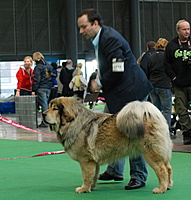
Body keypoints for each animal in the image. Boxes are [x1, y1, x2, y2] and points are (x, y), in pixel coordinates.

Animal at [43, 97, 173, 194]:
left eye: (55, 109)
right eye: (49, 107)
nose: (43, 114)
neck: (74, 122)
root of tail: (150, 114)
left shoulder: (86, 161)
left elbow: (86, 176)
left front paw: (83, 189)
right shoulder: (93, 162)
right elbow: (93, 176)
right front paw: (91, 187)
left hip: (151, 153)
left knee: (162, 170)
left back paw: (161, 189)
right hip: (161, 152)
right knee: (168, 168)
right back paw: (168, 186)